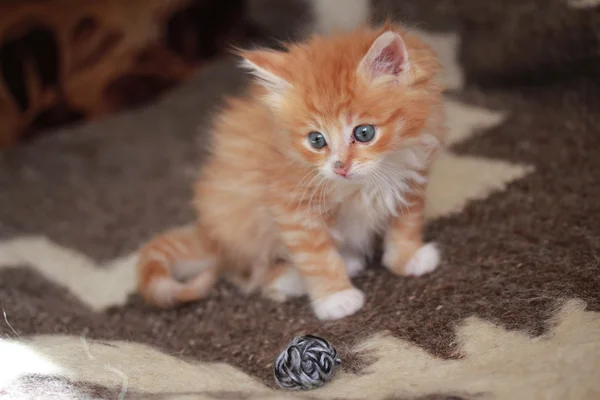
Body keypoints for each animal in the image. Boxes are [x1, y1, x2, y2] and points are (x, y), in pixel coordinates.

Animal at [136, 22, 446, 322]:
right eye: (316, 140)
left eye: (364, 133)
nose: (340, 167)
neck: (366, 181)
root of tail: (209, 234)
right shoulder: (293, 207)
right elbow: (316, 258)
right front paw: (335, 297)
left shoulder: (412, 177)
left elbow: (406, 222)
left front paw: (407, 258)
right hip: (241, 216)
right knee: (253, 274)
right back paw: (303, 275)